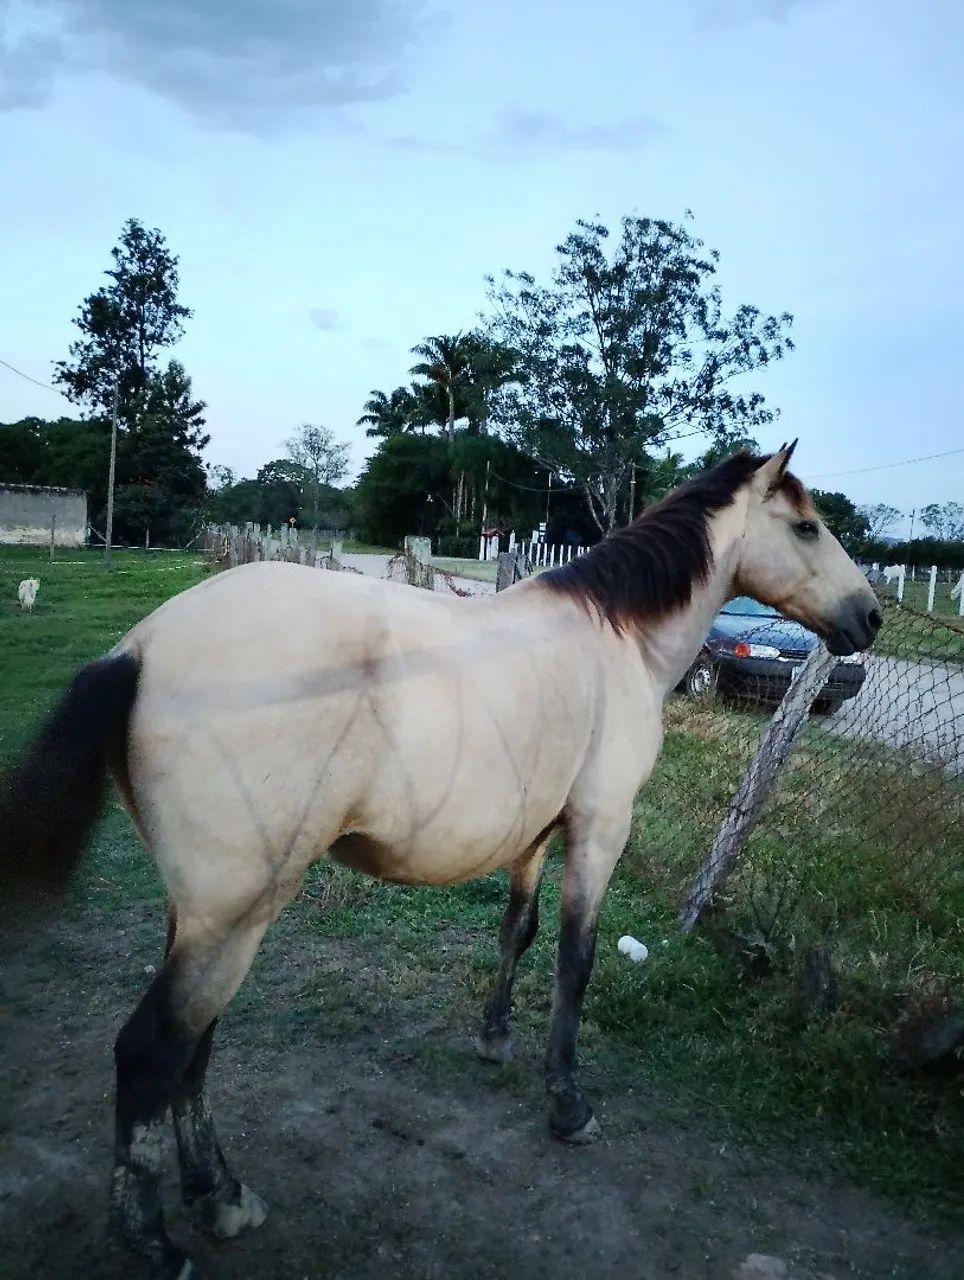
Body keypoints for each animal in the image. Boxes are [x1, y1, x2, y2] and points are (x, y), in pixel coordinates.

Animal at [0, 444, 882, 1279]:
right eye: (807, 527)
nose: (869, 618)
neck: (615, 639)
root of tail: (140, 649)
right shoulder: (600, 829)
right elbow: (576, 960)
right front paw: (569, 1106)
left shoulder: (536, 834)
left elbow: (517, 931)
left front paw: (495, 1038)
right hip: (236, 915)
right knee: (154, 1052)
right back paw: (156, 1241)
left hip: (208, 914)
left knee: (195, 1046)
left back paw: (220, 1196)